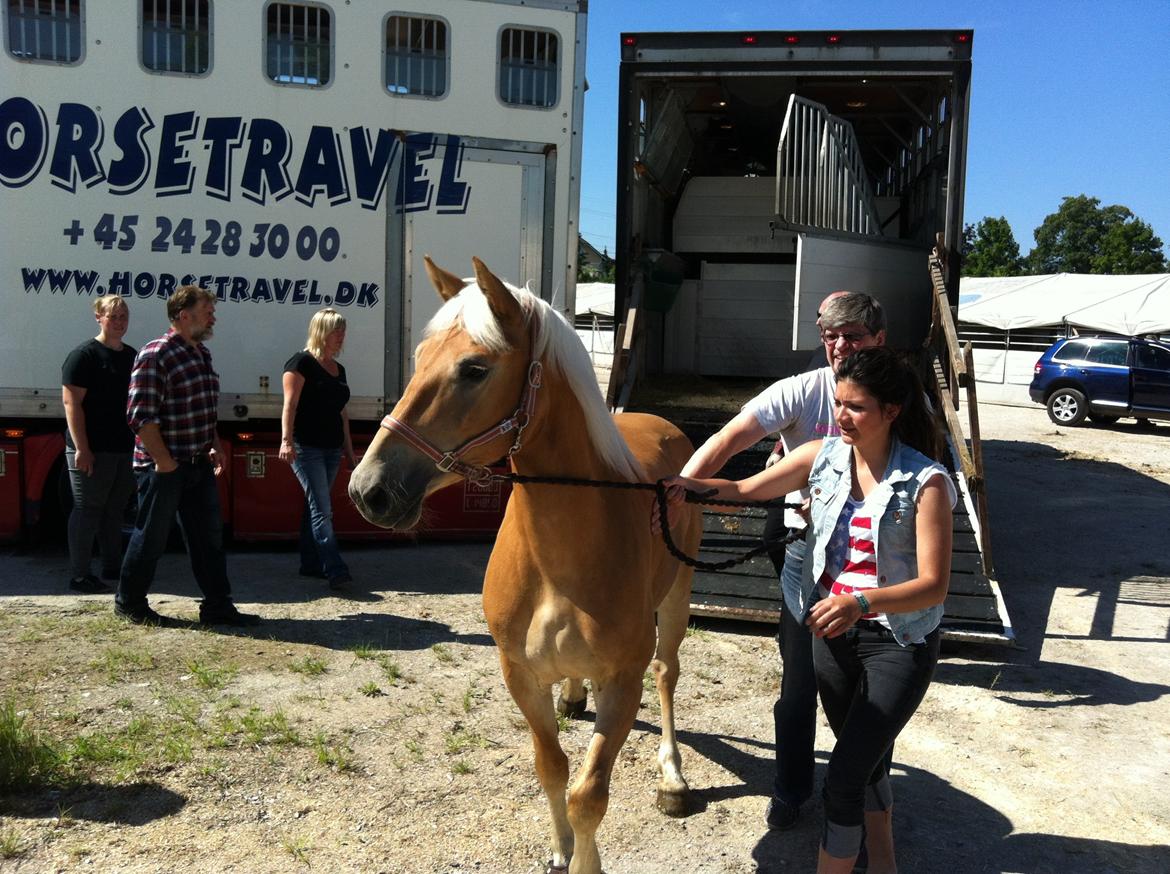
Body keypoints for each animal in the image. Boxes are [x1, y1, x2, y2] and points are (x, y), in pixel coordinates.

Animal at [348, 256, 702, 870]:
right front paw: (560, 849)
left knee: (667, 672)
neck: (559, 559)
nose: (368, 489)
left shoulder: (623, 679)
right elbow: (551, 767)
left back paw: (673, 777)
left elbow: (589, 794)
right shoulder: (518, 672)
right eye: (419, 358)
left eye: (473, 368)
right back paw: (574, 697)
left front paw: (584, 858)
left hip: (677, 598)